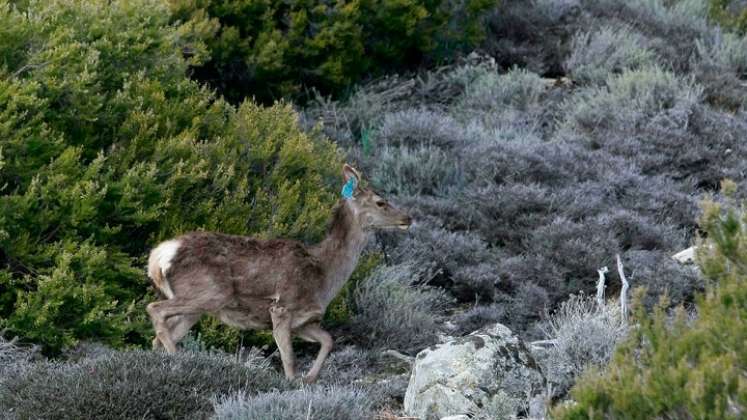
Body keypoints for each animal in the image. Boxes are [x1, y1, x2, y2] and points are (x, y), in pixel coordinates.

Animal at [145, 164, 414, 384]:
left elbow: (328, 340)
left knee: (158, 336)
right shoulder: (282, 307)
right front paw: (294, 381)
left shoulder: (305, 320)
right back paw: (179, 360)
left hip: (197, 306)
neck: (324, 274)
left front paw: (310, 378)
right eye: (380, 202)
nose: (408, 218)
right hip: (211, 293)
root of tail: (159, 256)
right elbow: (289, 359)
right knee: (154, 309)